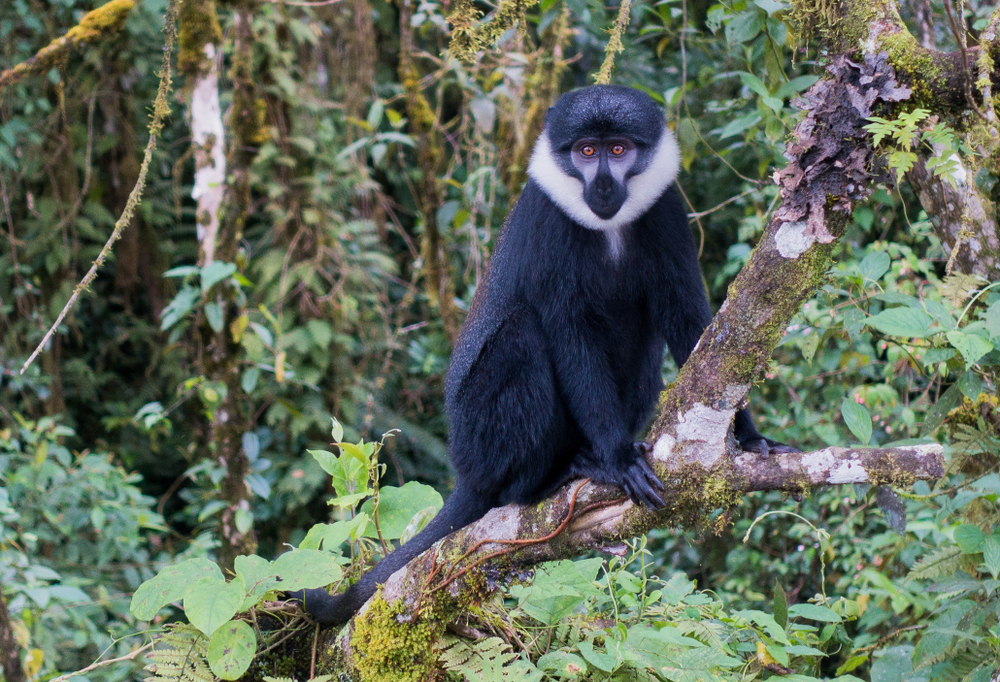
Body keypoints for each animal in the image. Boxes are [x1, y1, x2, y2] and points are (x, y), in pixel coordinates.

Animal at [292, 83, 792, 620]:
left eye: (618, 149)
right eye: (586, 152)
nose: (603, 186)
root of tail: (467, 471)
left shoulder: (667, 211)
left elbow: (692, 323)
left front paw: (748, 436)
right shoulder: (550, 228)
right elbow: (567, 332)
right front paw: (618, 459)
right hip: (484, 441)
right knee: (521, 335)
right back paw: (550, 477)